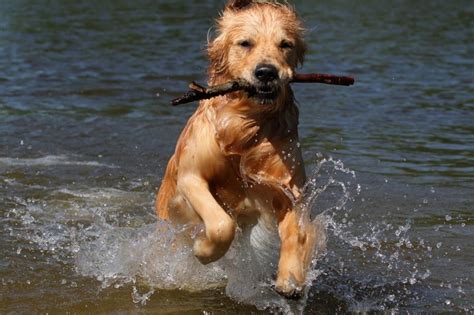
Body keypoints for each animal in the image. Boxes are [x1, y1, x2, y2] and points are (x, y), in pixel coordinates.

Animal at [157, 0, 324, 298]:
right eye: (245, 43)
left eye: (285, 44)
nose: (267, 72)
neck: (244, 124)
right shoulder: (190, 176)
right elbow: (222, 225)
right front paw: (203, 250)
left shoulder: (289, 188)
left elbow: (297, 232)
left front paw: (290, 278)